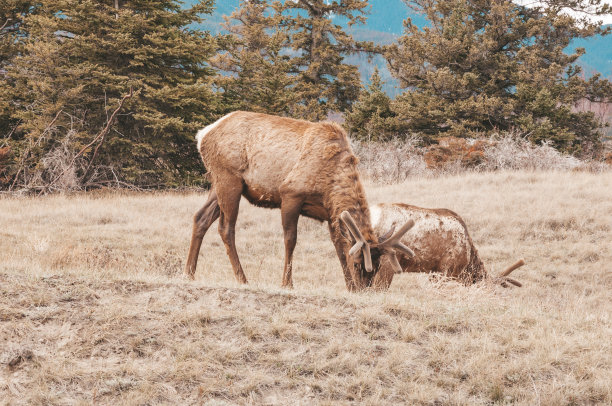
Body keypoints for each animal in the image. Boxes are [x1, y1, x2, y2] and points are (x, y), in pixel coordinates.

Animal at [182, 111, 414, 290]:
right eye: (358, 263)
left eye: (378, 266)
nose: (363, 289)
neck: (329, 184)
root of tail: (203, 134)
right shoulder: (290, 194)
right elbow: (290, 239)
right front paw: (287, 283)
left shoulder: (331, 214)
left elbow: (339, 247)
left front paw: (349, 287)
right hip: (229, 178)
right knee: (226, 228)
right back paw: (242, 278)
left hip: (217, 183)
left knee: (200, 217)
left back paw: (189, 273)